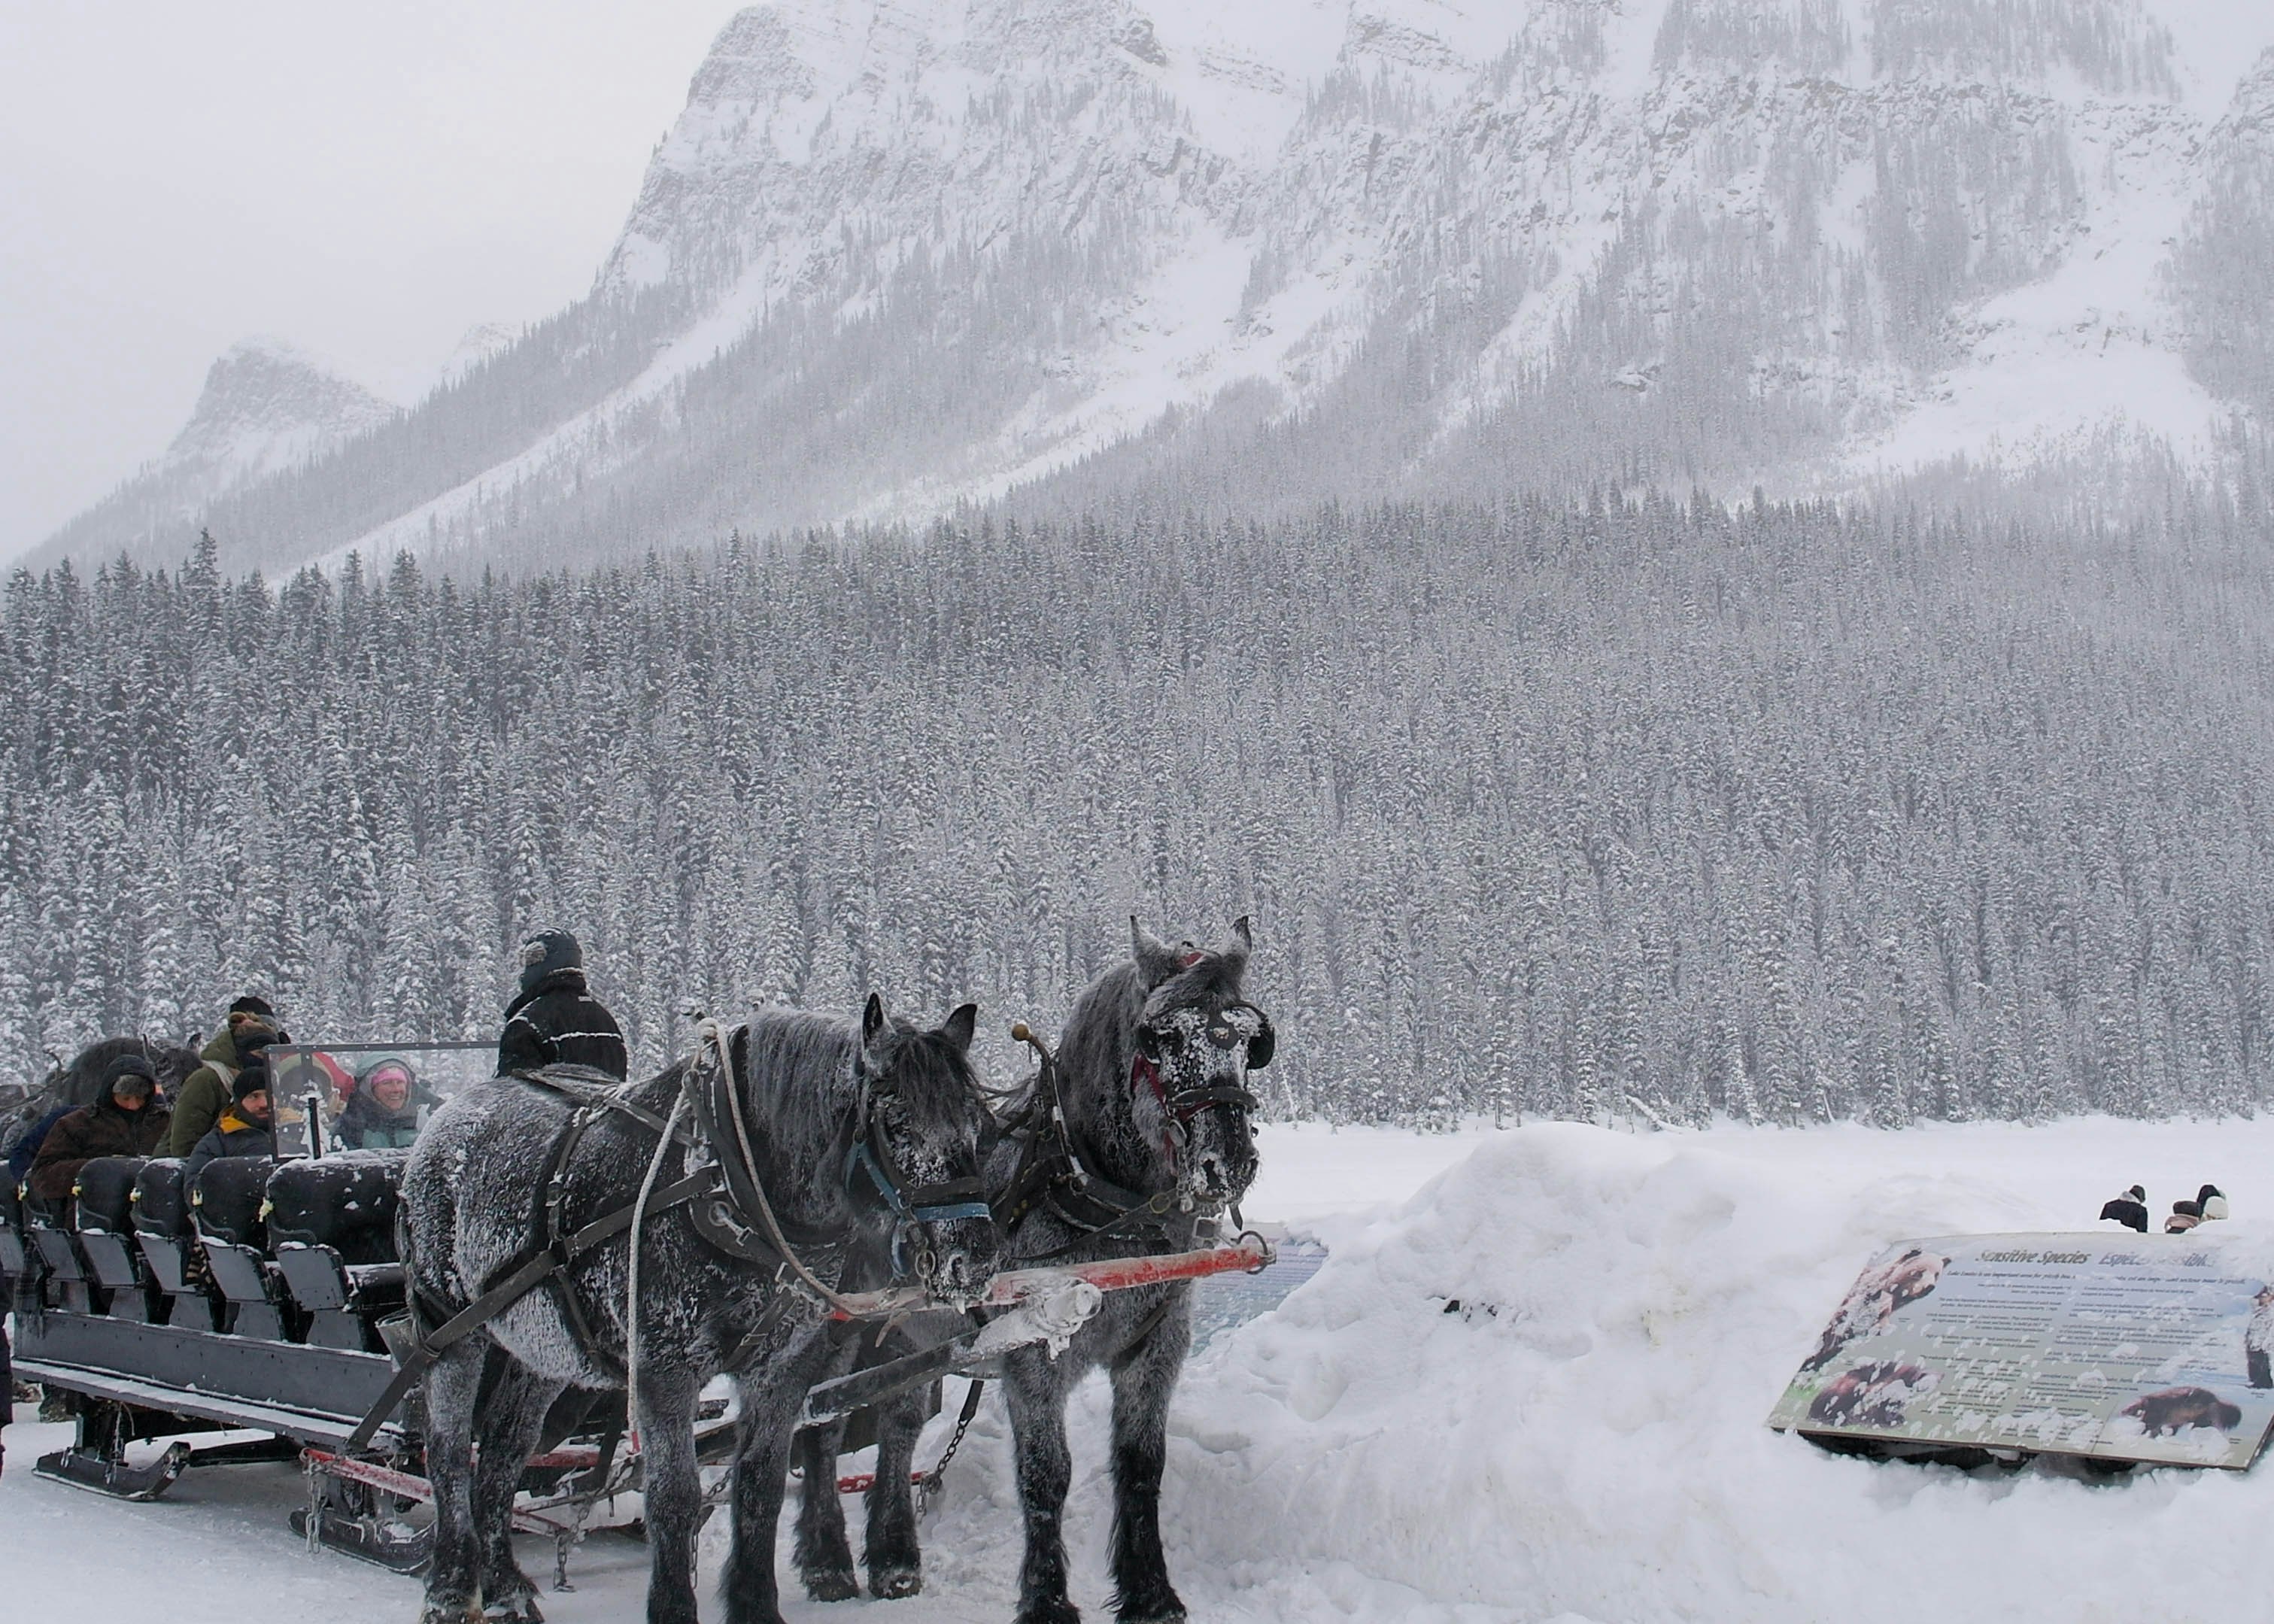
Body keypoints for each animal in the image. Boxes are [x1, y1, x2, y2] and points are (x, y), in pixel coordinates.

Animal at [398, 993, 1001, 1624]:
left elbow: (759, 1486)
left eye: (977, 1125)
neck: (731, 1183)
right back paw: (450, 1587)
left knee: (501, 1450)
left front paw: (757, 1605)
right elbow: (674, 1495)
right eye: (896, 1121)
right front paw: (672, 1605)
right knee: (447, 1452)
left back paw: (507, 1585)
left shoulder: (781, 1368)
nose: (975, 1258)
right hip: (450, 1329)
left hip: (542, 1346)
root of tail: (445, 1118)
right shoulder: (665, 1369)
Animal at [794, 918, 1271, 1624]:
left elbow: (1141, 1465)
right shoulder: (1032, 1358)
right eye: (1159, 1037)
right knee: (822, 1427)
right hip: (840, 1329)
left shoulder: (1155, 1348)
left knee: (898, 1426)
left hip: (909, 1338)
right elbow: (1047, 1474)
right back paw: (828, 1560)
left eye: (1249, 1037)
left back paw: (895, 1557)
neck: (1105, 1207)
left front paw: (1150, 1592)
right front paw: (1046, 1599)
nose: (1228, 1161)